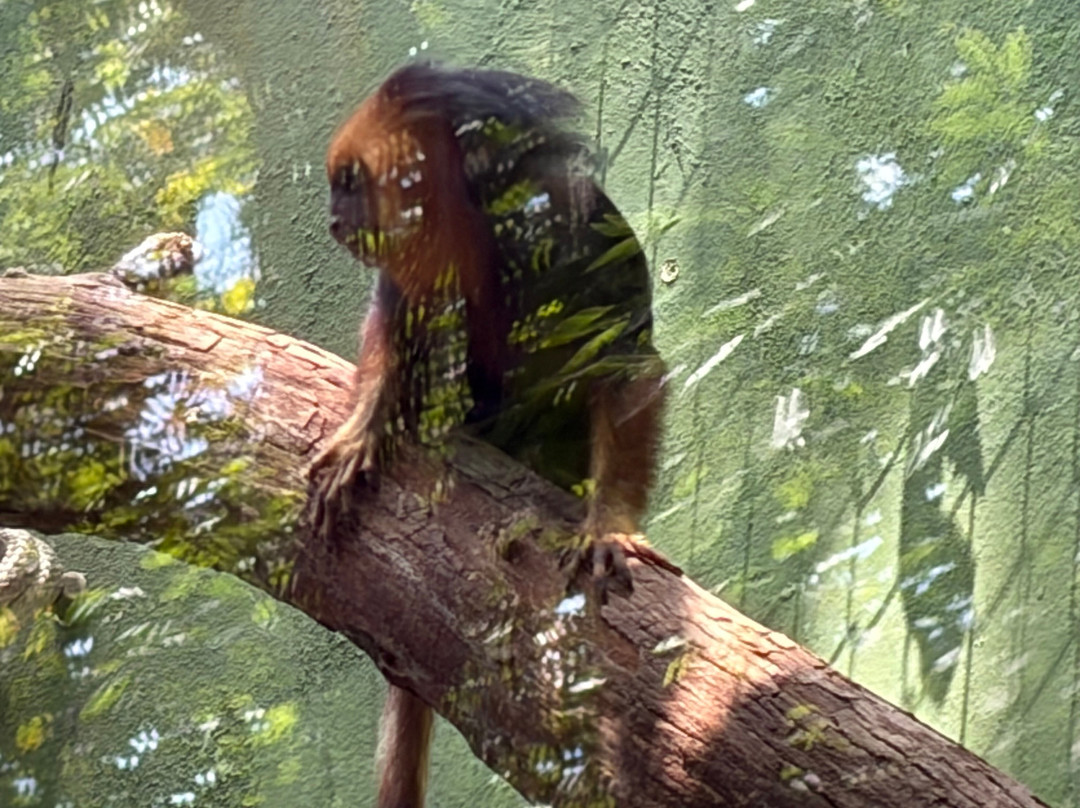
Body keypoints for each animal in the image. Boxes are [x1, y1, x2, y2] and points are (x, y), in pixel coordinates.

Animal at [308, 63, 668, 808]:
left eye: (349, 184)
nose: (331, 219)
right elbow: (392, 333)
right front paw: (360, 434)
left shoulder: (571, 231)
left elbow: (628, 367)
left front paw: (610, 525)